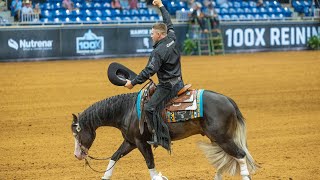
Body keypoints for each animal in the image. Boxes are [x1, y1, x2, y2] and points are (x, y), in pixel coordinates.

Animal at [72, 82, 258, 179]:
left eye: (77, 132)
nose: (77, 155)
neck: (127, 110)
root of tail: (228, 100)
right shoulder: (130, 142)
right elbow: (114, 157)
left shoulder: (141, 142)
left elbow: (150, 164)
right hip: (217, 138)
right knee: (228, 159)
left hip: (223, 138)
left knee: (240, 155)